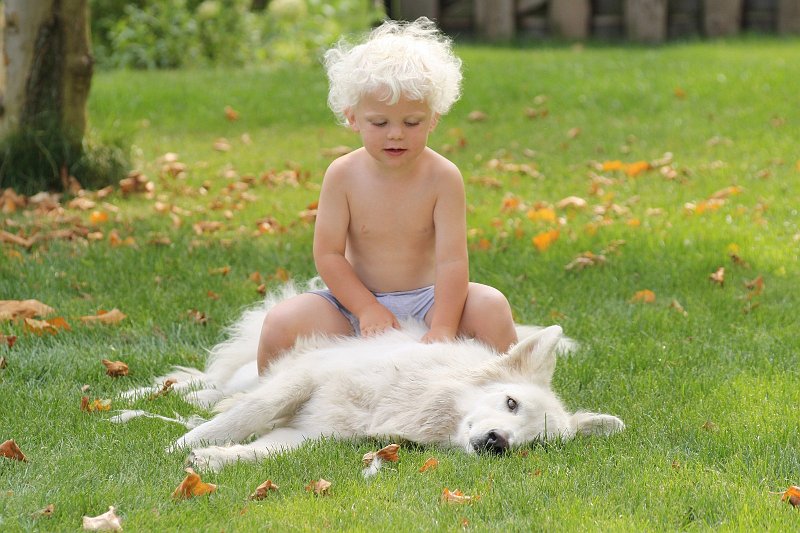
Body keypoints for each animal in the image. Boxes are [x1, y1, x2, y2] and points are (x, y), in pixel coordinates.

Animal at [117, 280, 624, 468]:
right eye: (511, 402)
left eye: (534, 444)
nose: (500, 443)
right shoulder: (306, 379)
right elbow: (251, 414)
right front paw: (185, 445)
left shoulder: (314, 434)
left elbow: (263, 450)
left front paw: (212, 459)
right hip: (253, 370)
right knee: (201, 385)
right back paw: (130, 402)